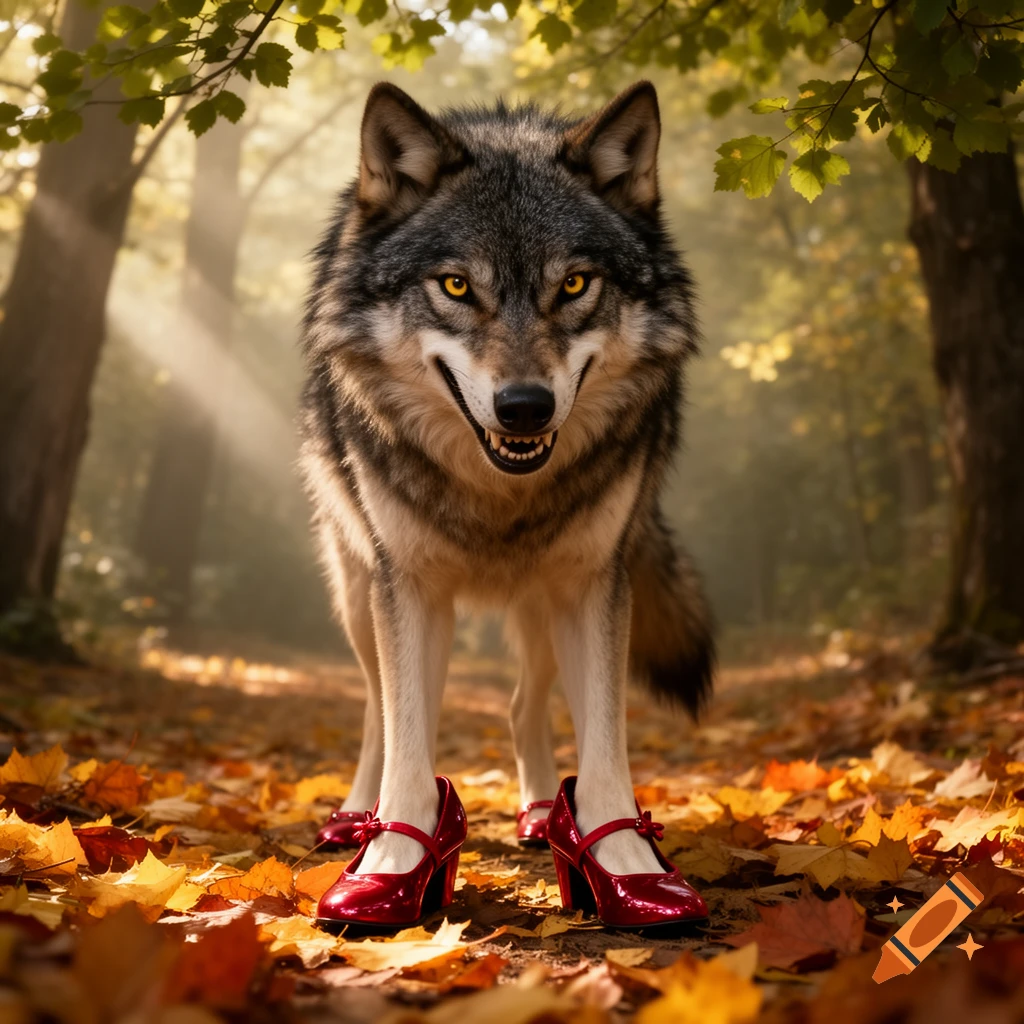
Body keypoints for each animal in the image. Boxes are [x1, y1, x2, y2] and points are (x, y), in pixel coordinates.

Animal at [299, 80, 715, 880]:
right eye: (457, 286)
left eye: (575, 284)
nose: (525, 407)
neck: (498, 497)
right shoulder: (409, 586)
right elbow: (407, 738)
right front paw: (393, 861)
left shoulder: (592, 583)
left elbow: (605, 744)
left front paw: (626, 864)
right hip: (358, 591)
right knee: (379, 707)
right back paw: (354, 817)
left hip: (542, 603)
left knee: (521, 705)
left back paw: (538, 814)